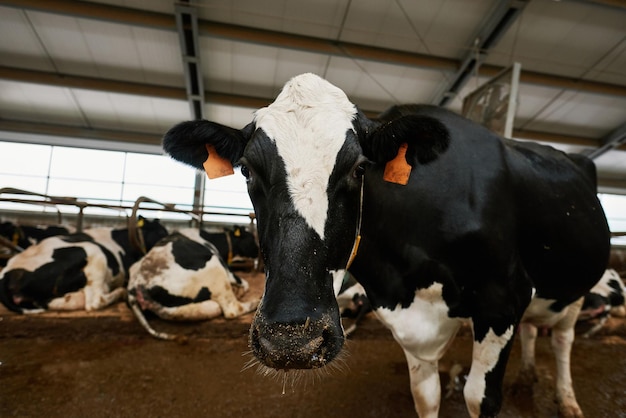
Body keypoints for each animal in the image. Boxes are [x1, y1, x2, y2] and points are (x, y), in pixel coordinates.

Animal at [125, 229, 258, 340]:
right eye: (251, 238)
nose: (257, 253)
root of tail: (137, 283)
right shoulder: (227, 270)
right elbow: (243, 283)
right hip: (215, 269)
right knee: (232, 309)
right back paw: (256, 302)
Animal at [160, 73, 604, 416]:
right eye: (247, 170)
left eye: (359, 168)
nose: (292, 342)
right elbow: (425, 398)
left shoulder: (504, 298)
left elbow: (480, 398)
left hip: (576, 286)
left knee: (563, 338)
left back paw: (568, 400)